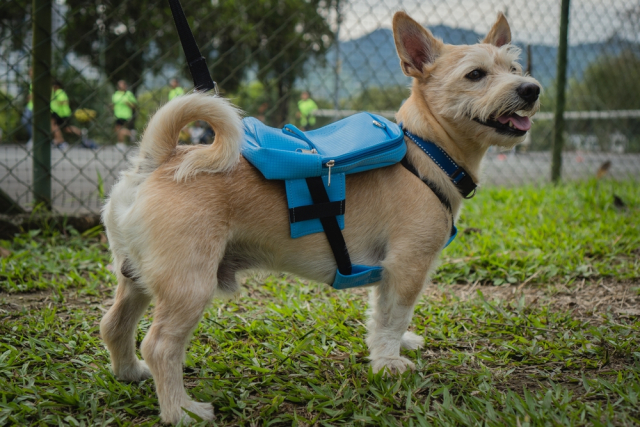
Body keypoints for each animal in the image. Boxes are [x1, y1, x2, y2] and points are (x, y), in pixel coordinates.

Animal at [100, 10, 540, 424]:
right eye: (476, 74)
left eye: (516, 69)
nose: (532, 89)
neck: (426, 150)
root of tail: (160, 159)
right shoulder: (407, 266)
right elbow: (393, 317)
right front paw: (389, 362)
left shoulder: (389, 271)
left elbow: (382, 315)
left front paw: (395, 347)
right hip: (188, 286)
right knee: (159, 346)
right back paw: (182, 410)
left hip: (138, 279)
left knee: (114, 325)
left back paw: (129, 372)